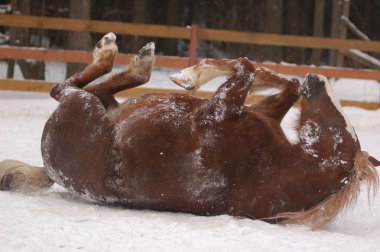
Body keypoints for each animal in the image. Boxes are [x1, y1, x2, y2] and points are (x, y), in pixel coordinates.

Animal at [1, 33, 378, 228]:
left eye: (338, 129)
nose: (318, 79)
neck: (274, 167)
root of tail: (50, 168)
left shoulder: (219, 110)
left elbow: (244, 67)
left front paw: (190, 75)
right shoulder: (262, 111)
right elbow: (271, 77)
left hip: (83, 107)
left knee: (65, 88)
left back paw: (115, 51)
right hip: (105, 105)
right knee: (101, 86)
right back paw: (138, 58)